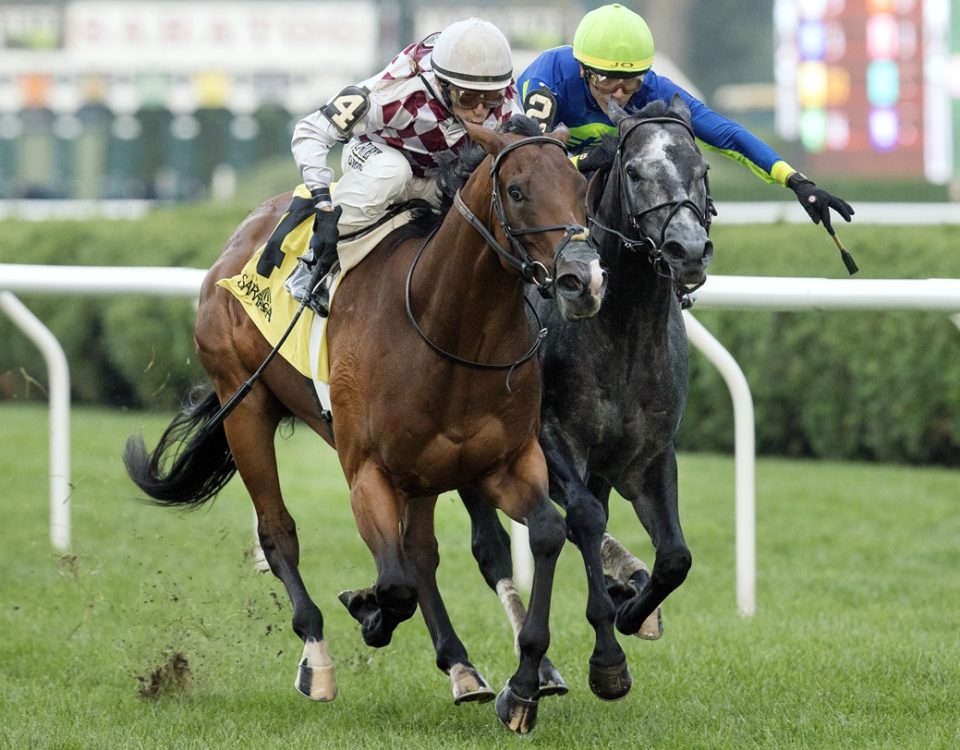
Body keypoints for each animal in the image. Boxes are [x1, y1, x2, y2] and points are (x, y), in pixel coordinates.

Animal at [124, 117, 604, 736]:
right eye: (517, 191)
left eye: (580, 189)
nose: (582, 279)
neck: (445, 327)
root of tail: (239, 238)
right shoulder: (368, 471)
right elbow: (394, 583)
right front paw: (369, 612)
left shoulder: (501, 462)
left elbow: (543, 531)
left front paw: (523, 688)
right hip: (244, 402)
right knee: (279, 532)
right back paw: (318, 658)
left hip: (423, 470)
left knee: (420, 551)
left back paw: (461, 667)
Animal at [458, 95, 712, 704]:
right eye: (636, 171)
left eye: (702, 169)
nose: (688, 250)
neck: (622, 326)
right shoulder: (551, 440)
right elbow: (584, 519)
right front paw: (608, 656)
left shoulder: (649, 454)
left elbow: (675, 556)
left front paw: (632, 608)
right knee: (492, 544)